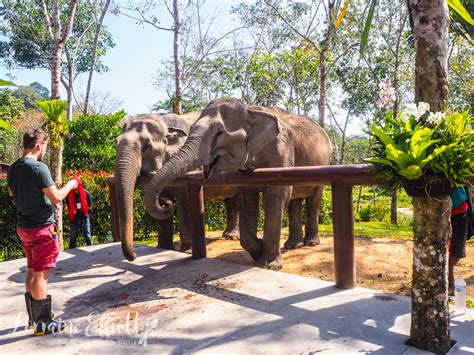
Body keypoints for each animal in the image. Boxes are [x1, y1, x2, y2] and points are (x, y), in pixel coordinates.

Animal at [113, 112, 239, 262]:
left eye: (147, 146)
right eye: (115, 143)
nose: (134, 256)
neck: (164, 120)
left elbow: (184, 201)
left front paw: (186, 251)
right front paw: (163, 248)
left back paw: (231, 237)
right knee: (230, 199)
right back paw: (227, 234)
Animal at [144, 98, 334, 270]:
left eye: (219, 133)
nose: (166, 203)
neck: (250, 109)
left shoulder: (281, 149)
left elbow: (276, 195)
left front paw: (271, 265)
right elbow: (247, 198)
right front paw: (258, 249)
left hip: (324, 164)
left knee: (313, 200)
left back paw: (311, 243)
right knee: (295, 200)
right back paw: (293, 246)